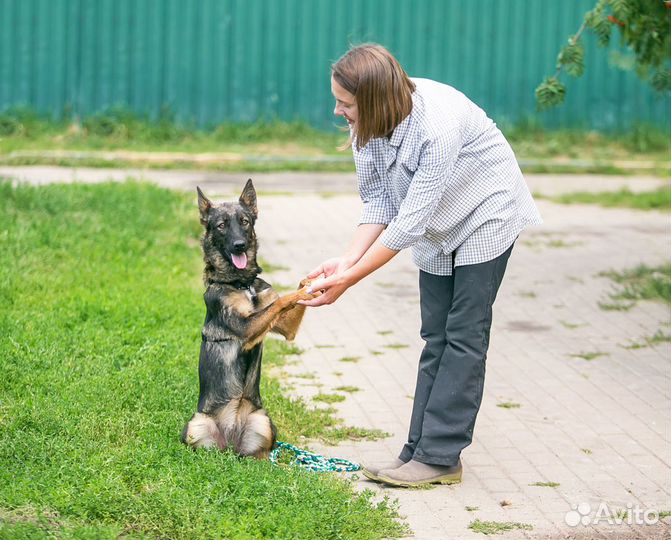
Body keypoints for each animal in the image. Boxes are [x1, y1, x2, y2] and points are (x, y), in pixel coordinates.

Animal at [181, 179, 318, 458]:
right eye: (221, 225)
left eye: (244, 221)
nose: (239, 245)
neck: (242, 283)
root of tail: (231, 444)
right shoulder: (245, 328)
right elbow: (281, 301)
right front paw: (302, 291)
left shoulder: (284, 326)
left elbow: (278, 303)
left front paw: (312, 282)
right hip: (195, 424)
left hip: (263, 422)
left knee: (263, 452)